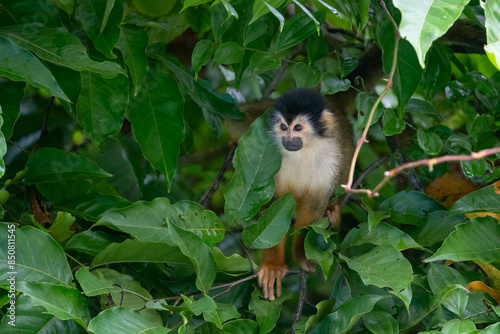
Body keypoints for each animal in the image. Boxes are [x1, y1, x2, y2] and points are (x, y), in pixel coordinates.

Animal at [258, 88, 356, 300]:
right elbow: (272, 207)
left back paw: (331, 210)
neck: (303, 151)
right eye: (283, 127)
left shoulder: (330, 156)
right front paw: (273, 266)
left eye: (298, 128)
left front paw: (303, 256)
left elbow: (314, 204)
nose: (288, 140)